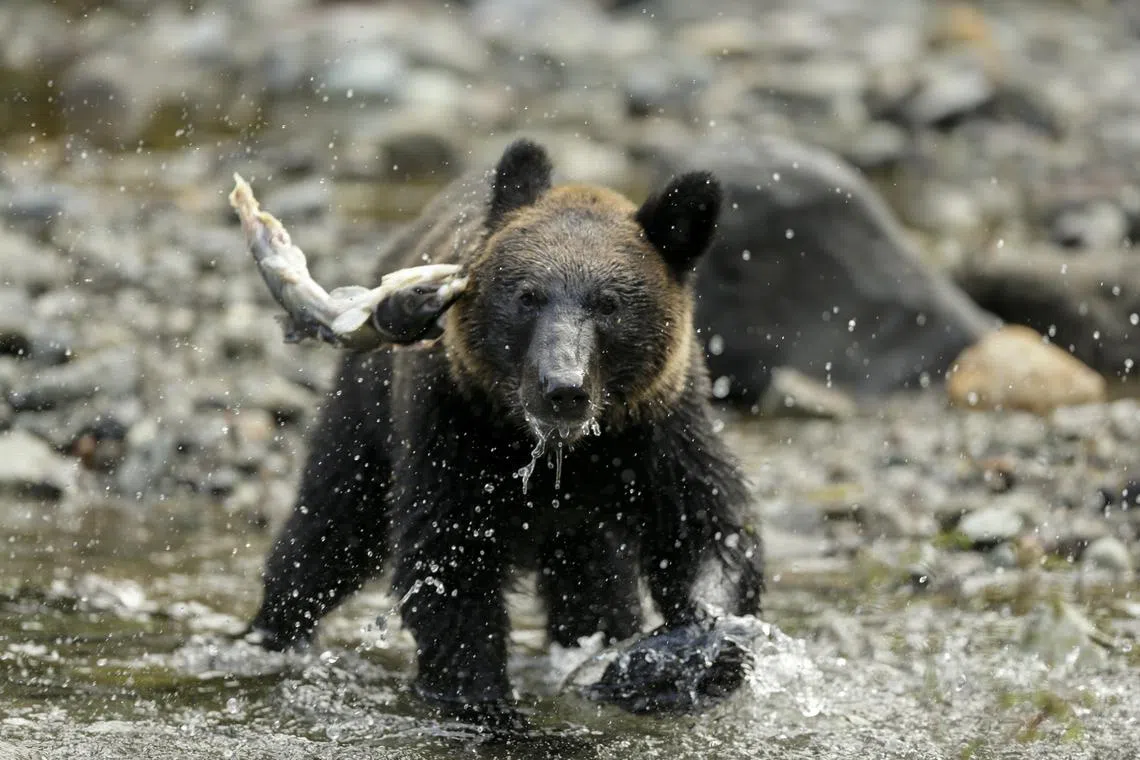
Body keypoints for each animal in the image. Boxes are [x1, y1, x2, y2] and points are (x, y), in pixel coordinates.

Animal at [246, 138, 764, 727]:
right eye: (528, 296)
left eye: (609, 304)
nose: (562, 387)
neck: (560, 450)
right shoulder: (454, 429)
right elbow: (448, 560)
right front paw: (483, 703)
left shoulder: (658, 431)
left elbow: (708, 527)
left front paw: (671, 662)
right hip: (368, 408)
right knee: (331, 527)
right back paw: (273, 634)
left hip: (587, 527)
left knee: (594, 587)